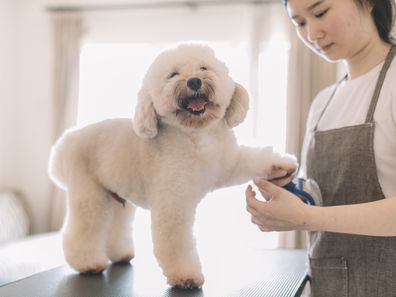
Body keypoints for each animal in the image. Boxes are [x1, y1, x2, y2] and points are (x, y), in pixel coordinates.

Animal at [48, 42, 296, 288]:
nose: (194, 81)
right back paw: (87, 263)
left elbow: (251, 158)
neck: (196, 136)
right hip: (89, 195)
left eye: (204, 68)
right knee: (83, 229)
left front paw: (281, 165)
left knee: (117, 225)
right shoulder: (173, 203)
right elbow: (175, 242)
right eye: (173, 75)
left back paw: (120, 254)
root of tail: (67, 141)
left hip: (118, 197)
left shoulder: (227, 163)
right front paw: (186, 276)